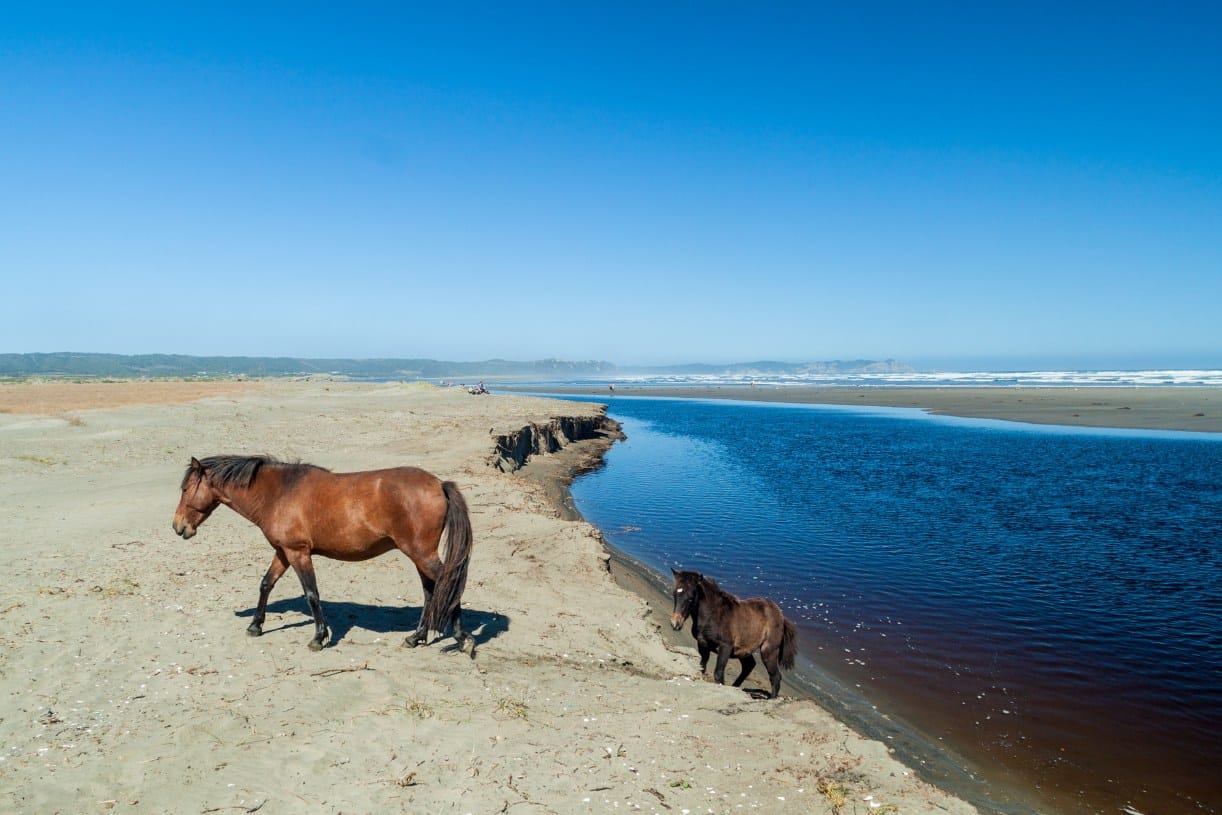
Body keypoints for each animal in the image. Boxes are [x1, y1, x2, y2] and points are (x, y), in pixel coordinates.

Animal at [174, 459, 474, 654]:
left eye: (185, 489)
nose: (178, 526)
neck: (279, 493)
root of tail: (439, 484)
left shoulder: (298, 553)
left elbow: (312, 595)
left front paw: (319, 638)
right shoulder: (283, 552)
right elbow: (266, 584)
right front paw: (255, 625)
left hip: (421, 554)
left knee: (448, 584)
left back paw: (463, 639)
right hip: (419, 555)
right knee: (431, 591)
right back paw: (417, 637)